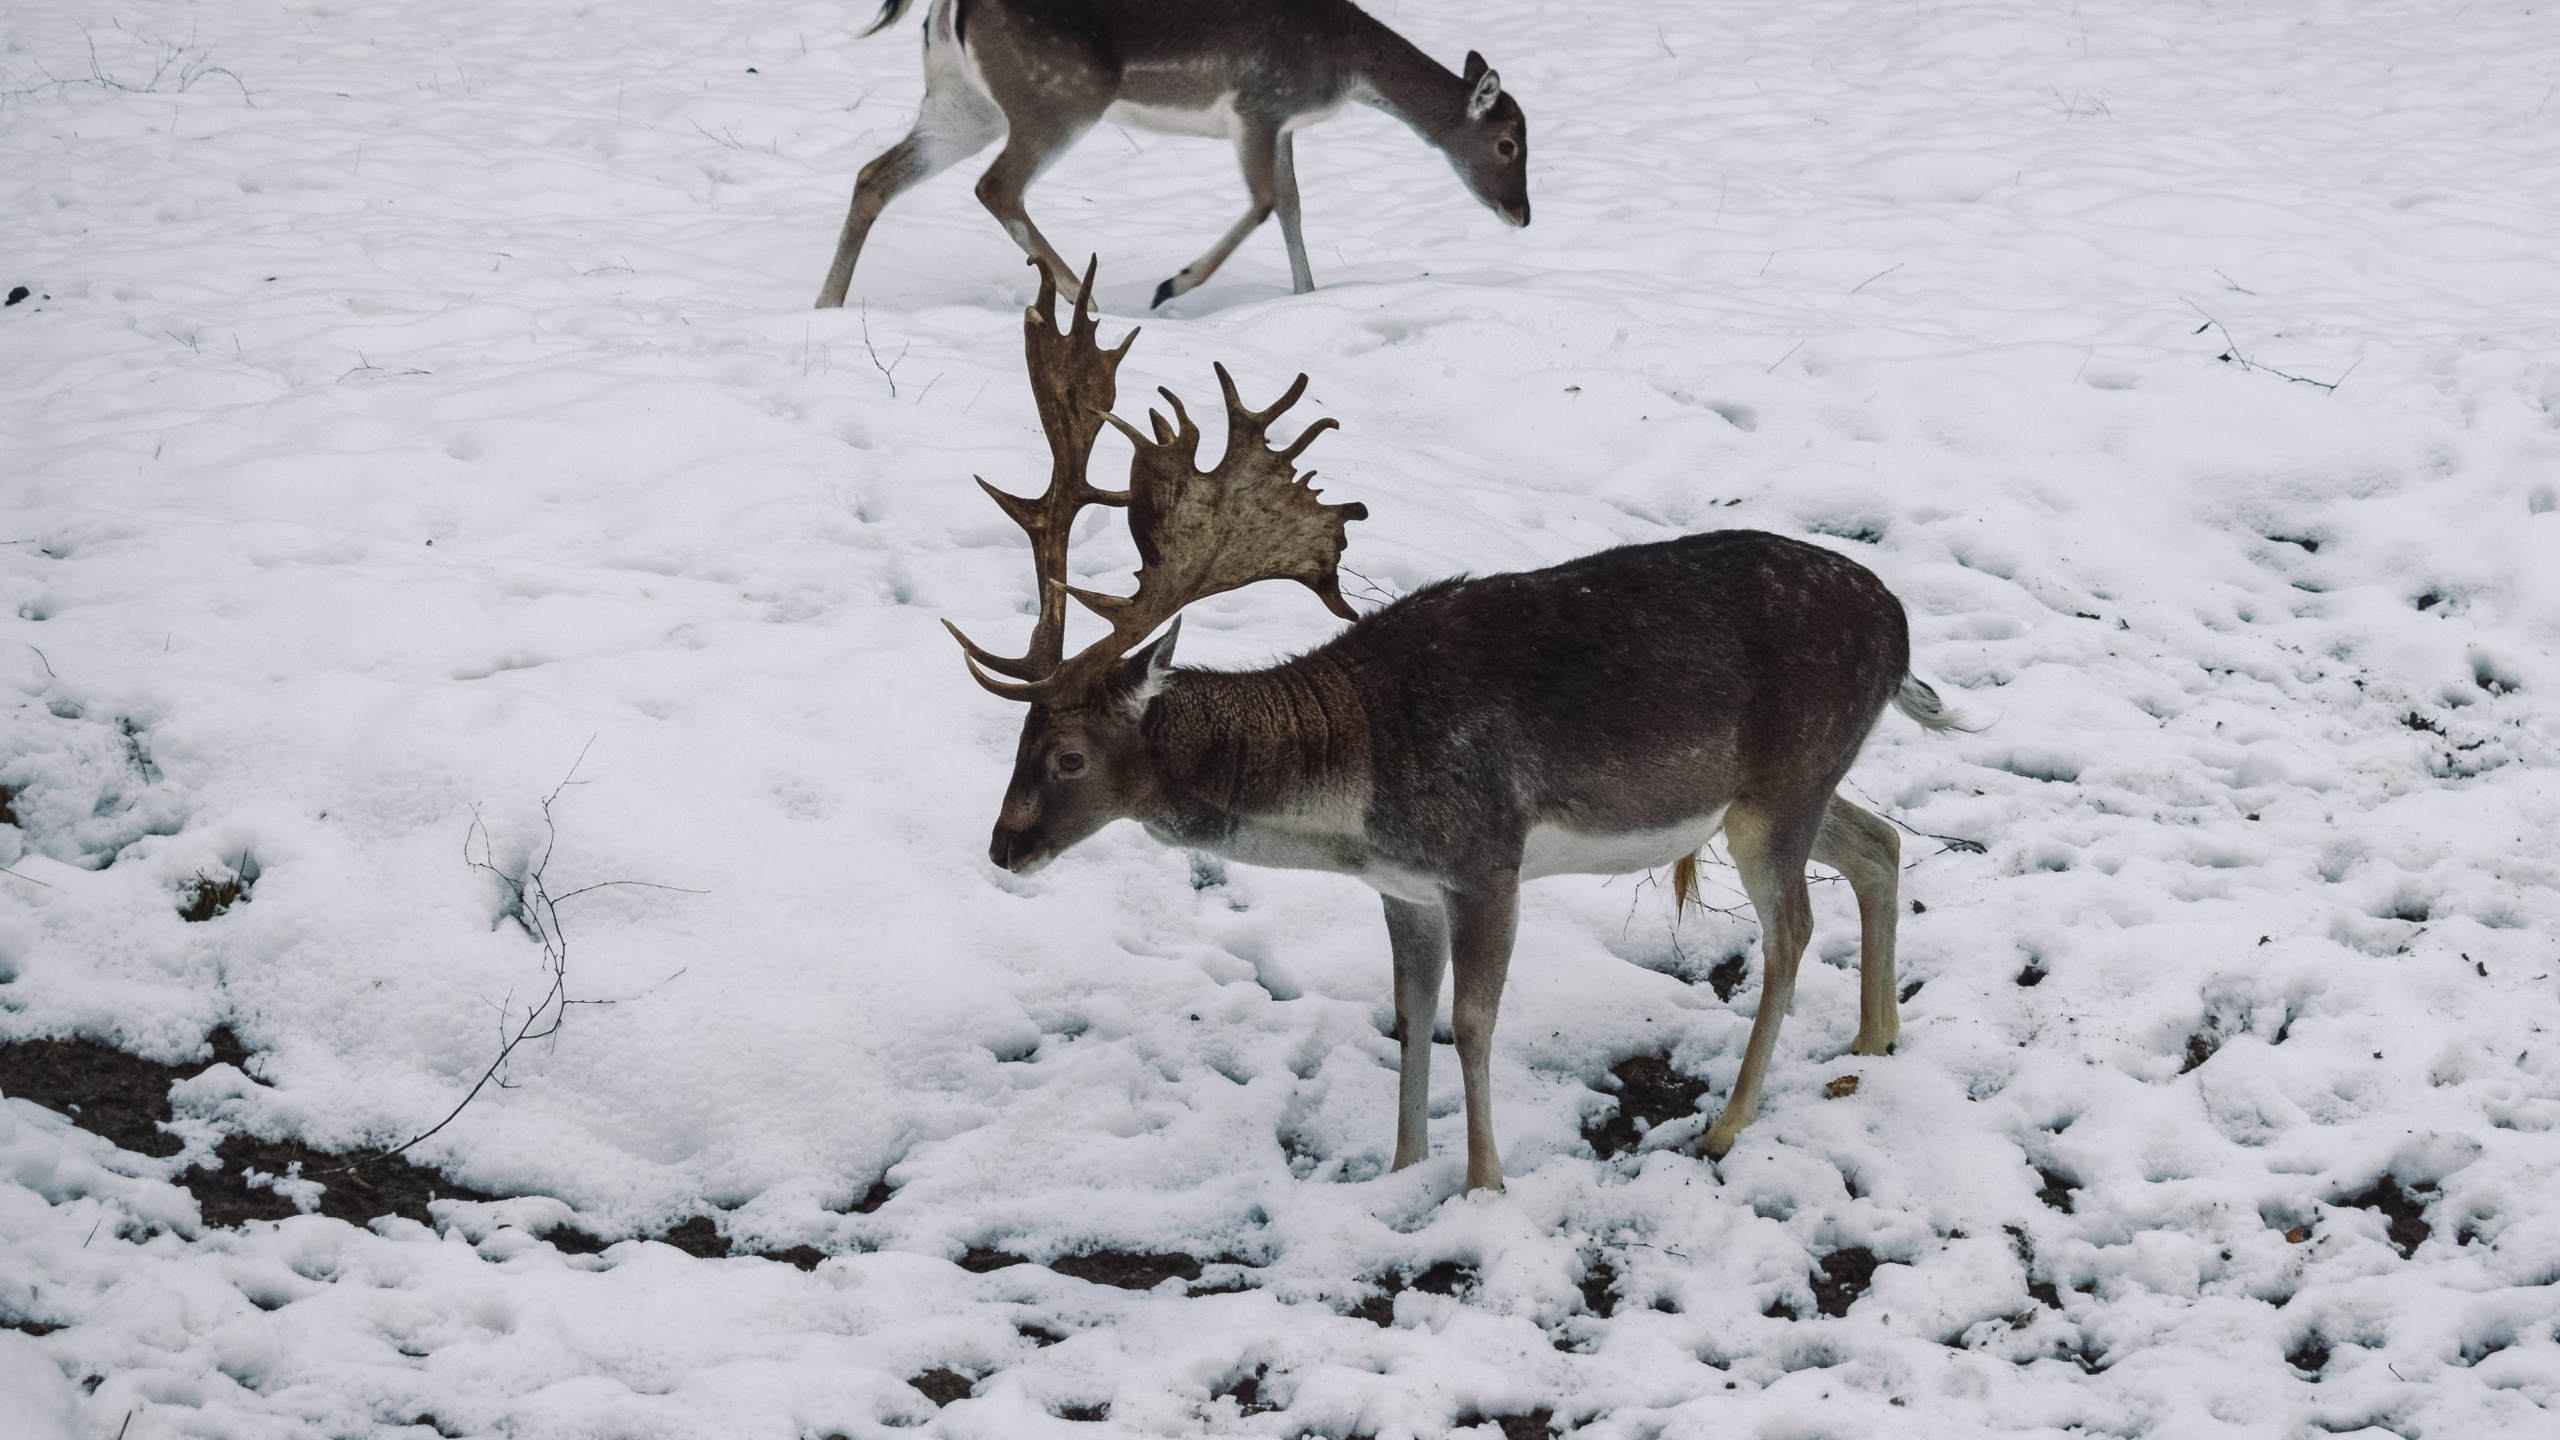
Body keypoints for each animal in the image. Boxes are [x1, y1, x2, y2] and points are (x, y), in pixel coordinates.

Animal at [814, 0, 1529, 310]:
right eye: (1508, 143)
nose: (1522, 214)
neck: (1346, 65)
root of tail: (946, 8)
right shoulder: (1258, 105)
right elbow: (1266, 201)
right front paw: (1171, 283)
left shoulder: (1282, 124)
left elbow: (1293, 206)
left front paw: (1306, 296)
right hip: (1058, 98)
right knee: (997, 186)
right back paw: (1087, 302)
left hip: (963, 103)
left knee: (874, 175)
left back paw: (827, 305)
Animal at [948, 259, 1965, 1191]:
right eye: (1017, 742)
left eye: (1069, 756)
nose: (1002, 846)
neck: (1355, 790)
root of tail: (1899, 626)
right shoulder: (1403, 887)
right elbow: (1410, 1017)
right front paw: (1402, 1170)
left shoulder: (1485, 857)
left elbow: (1472, 1022)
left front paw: (1483, 1185)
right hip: (1781, 783)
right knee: (1878, 842)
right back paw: (1873, 1041)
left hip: (1781, 784)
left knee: (1791, 929)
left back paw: (1727, 1125)